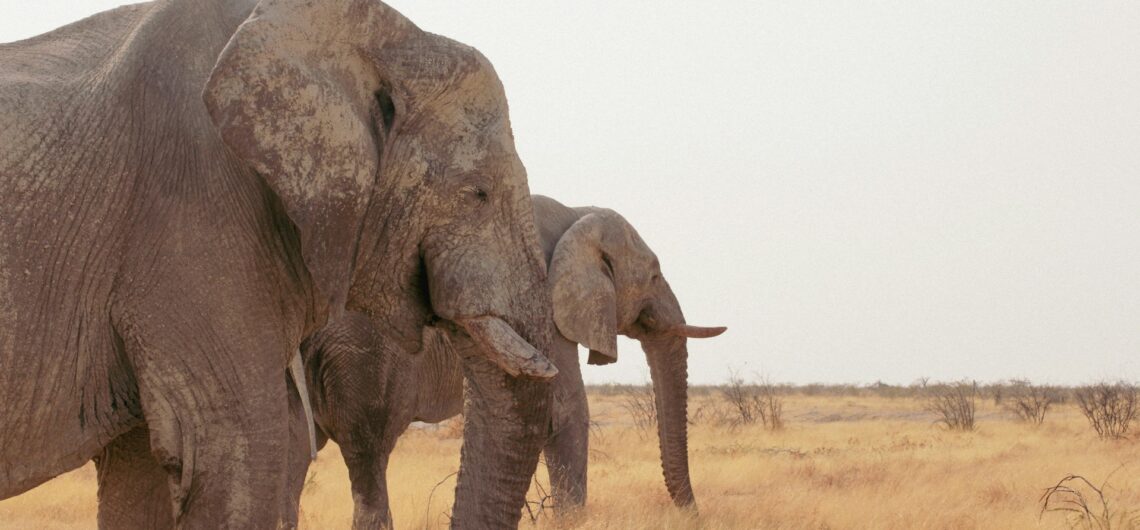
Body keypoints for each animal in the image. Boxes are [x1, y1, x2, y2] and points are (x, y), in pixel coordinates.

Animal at [284, 195, 726, 527]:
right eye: (654, 276)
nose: (694, 515)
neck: (575, 212)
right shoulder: (541, 302)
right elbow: (564, 412)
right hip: (360, 358)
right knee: (368, 457)